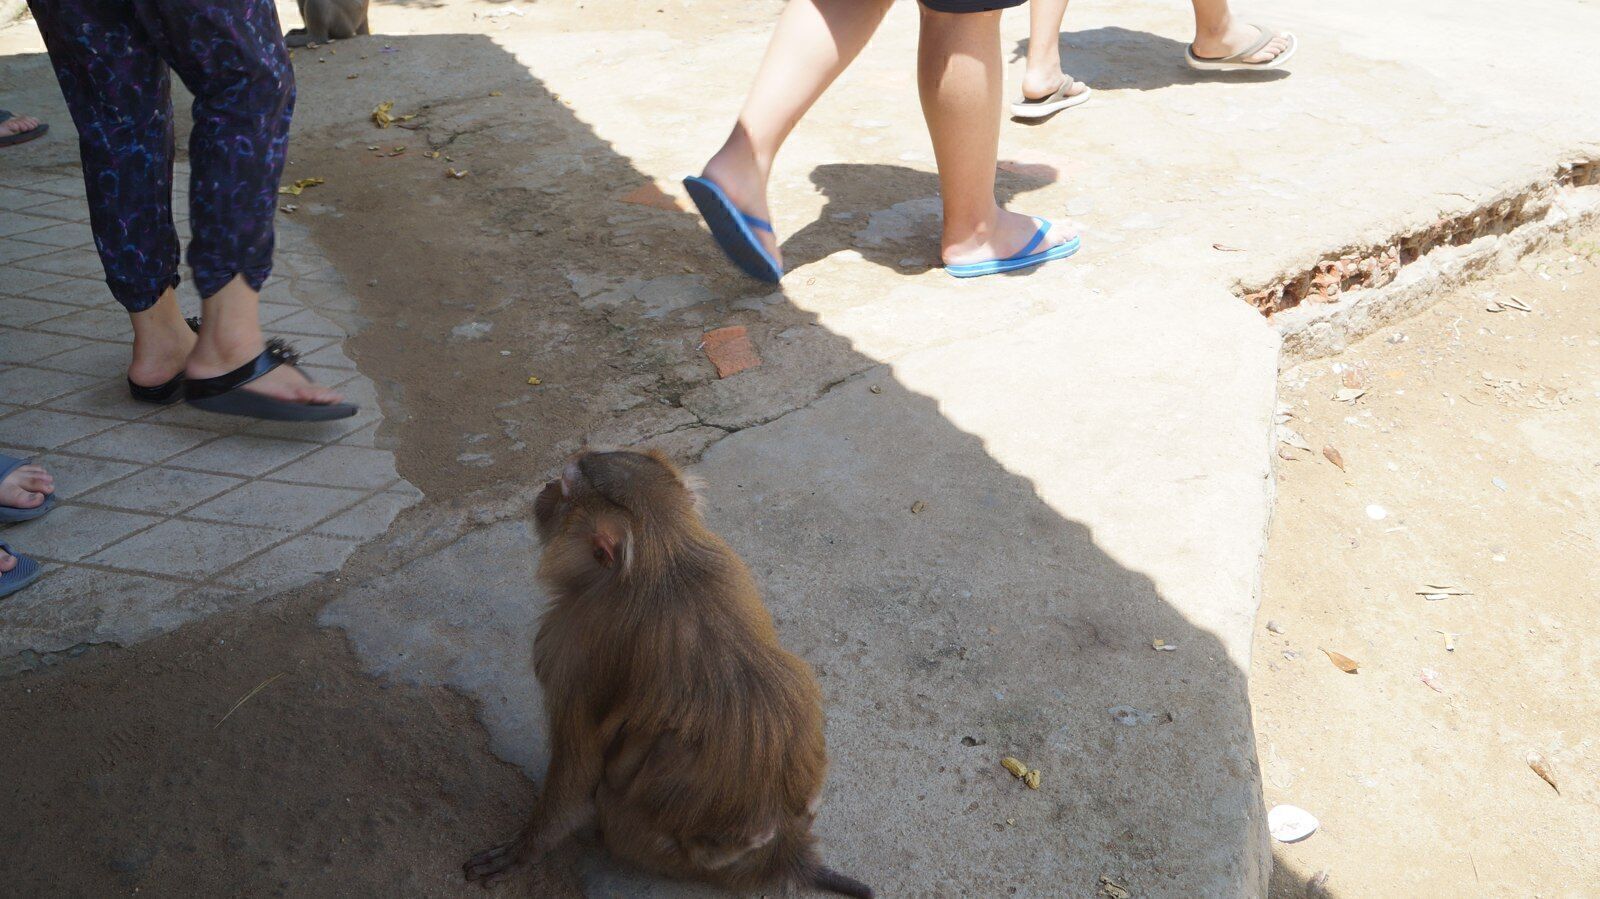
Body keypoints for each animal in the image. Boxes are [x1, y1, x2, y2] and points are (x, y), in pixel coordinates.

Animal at [463, 449, 873, 899]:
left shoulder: (569, 644)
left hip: (636, 835)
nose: (547, 488)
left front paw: (527, 847)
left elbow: (579, 765)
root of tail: (782, 854)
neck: (664, 554)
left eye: (565, 488)